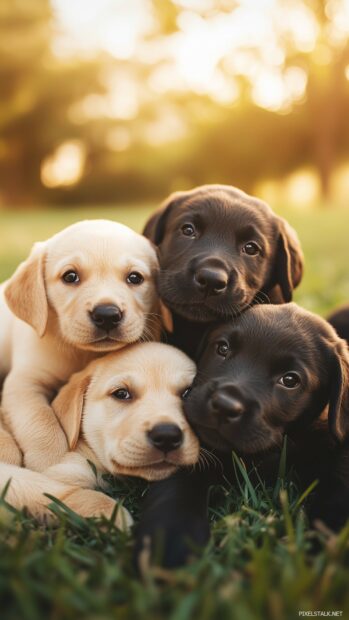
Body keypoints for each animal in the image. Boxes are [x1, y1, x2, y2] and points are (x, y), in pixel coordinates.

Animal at [0, 220, 160, 468]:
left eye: (135, 278)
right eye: (70, 276)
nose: (107, 315)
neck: (81, 353)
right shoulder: (23, 383)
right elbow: (39, 419)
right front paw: (51, 460)